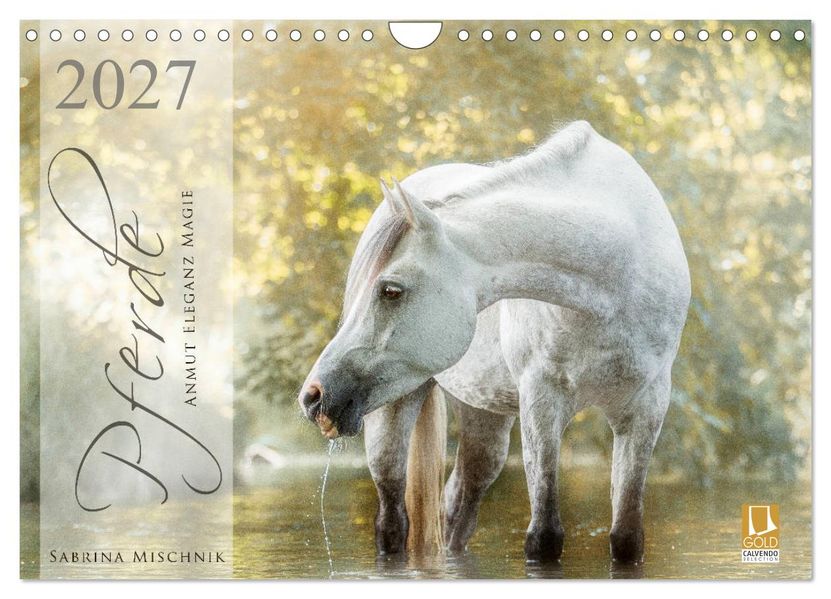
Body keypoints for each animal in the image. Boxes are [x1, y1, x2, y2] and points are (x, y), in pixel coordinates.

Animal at [297, 121, 691, 563]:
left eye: (391, 290)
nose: (314, 395)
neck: (619, 275)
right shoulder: (541, 400)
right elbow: (545, 537)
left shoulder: (645, 409)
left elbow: (626, 537)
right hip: (393, 410)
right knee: (392, 521)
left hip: (484, 417)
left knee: (458, 504)